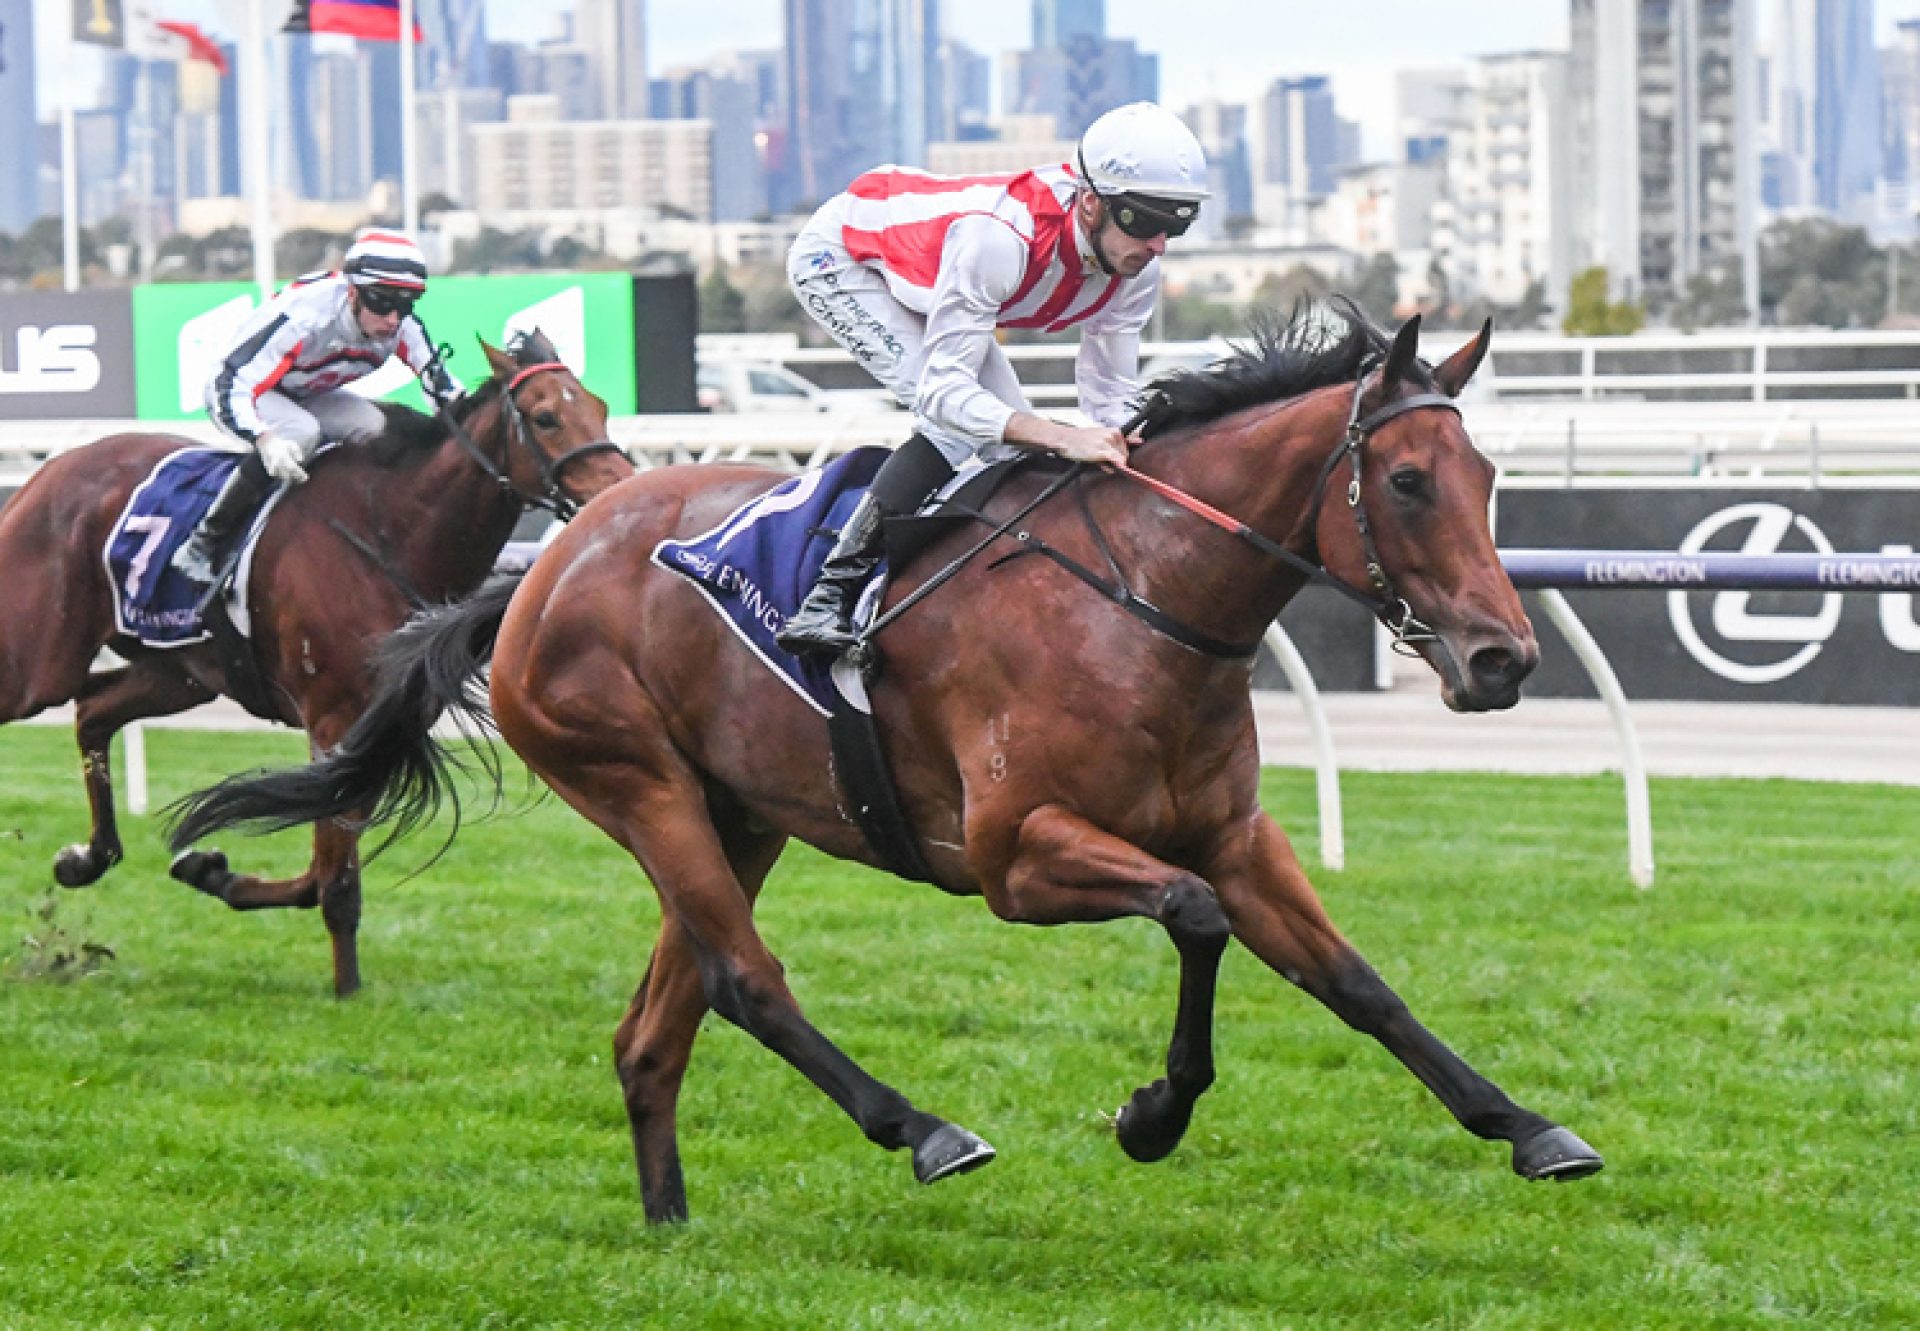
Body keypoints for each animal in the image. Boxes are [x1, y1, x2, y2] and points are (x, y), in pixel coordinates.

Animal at [0, 334, 629, 998]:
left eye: (600, 407)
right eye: (546, 417)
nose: (619, 490)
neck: (392, 529)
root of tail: (50, 471)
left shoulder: (374, 727)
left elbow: (319, 872)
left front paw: (209, 869)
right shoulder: (332, 719)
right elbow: (336, 878)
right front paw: (347, 988)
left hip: (179, 673)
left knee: (93, 710)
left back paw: (85, 859)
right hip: (37, 662)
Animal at [168, 309, 1605, 1213]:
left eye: (1487, 478)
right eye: (1407, 482)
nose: (1502, 659)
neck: (1141, 601)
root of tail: (550, 563)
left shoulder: (1236, 834)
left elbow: (1357, 980)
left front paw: (1531, 1127)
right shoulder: (1019, 857)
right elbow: (1194, 918)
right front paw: (1152, 1112)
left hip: (738, 810)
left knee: (655, 1025)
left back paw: (670, 1216)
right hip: (636, 781)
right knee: (743, 982)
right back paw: (924, 1129)